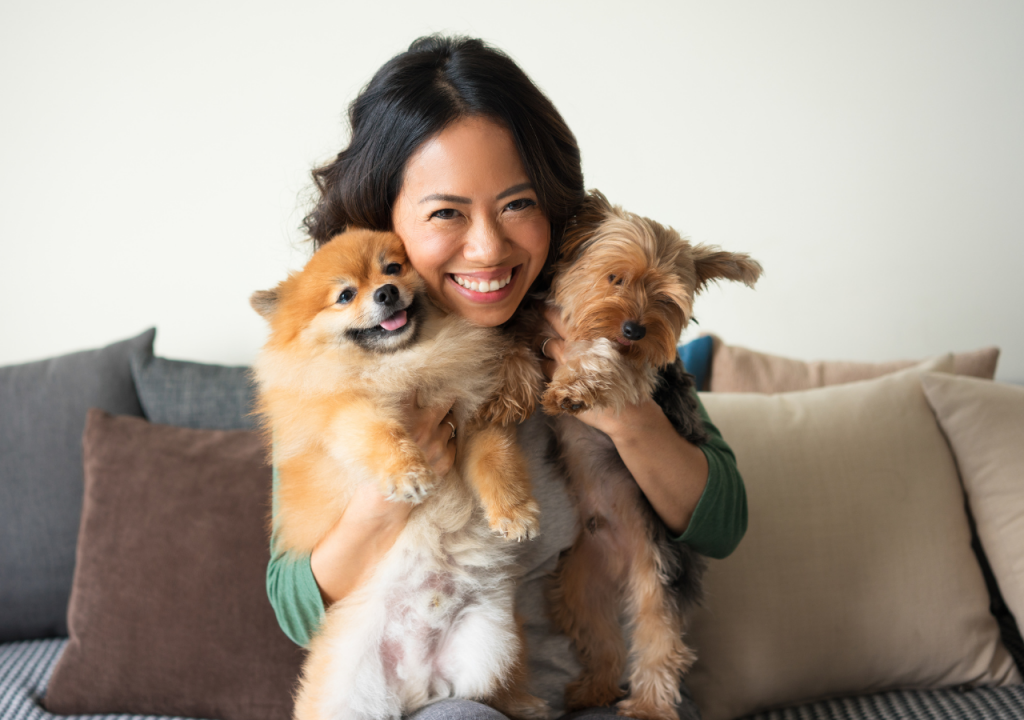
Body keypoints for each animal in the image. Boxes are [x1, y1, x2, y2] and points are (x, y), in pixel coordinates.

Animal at [248, 228, 552, 720]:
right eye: (345, 295)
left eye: (393, 268)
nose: (387, 293)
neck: (406, 363)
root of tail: (416, 685)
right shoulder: (343, 411)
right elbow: (377, 431)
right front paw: (408, 473)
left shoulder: (474, 420)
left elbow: (495, 460)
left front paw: (514, 512)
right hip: (347, 694)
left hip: (488, 646)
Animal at [544, 190, 761, 720]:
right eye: (614, 278)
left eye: (665, 298)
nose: (634, 328)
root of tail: (622, 564)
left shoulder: (644, 374)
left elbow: (604, 359)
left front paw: (574, 386)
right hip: (577, 585)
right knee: (600, 635)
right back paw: (595, 689)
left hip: (660, 575)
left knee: (660, 640)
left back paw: (647, 705)